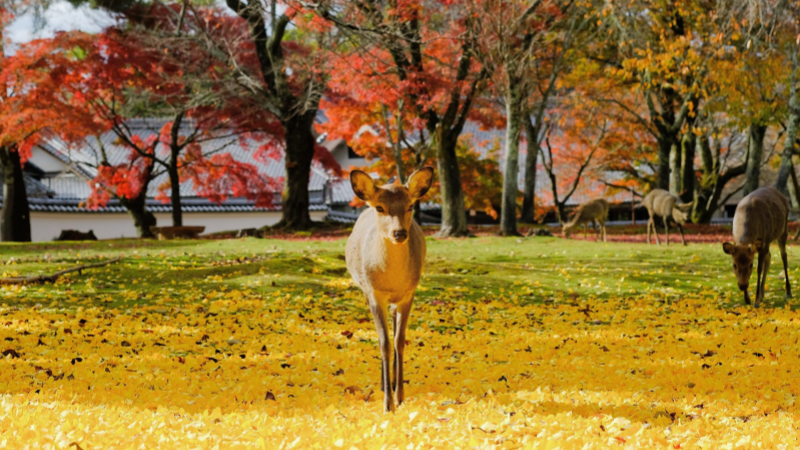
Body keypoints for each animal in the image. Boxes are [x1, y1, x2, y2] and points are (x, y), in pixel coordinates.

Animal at [345, 166, 434, 413]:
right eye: (380, 207)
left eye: (410, 206)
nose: (399, 233)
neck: (393, 280)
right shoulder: (375, 294)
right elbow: (384, 342)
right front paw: (388, 404)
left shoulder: (409, 293)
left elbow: (399, 340)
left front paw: (400, 397)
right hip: (367, 292)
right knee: (380, 338)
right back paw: (384, 385)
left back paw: (393, 383)